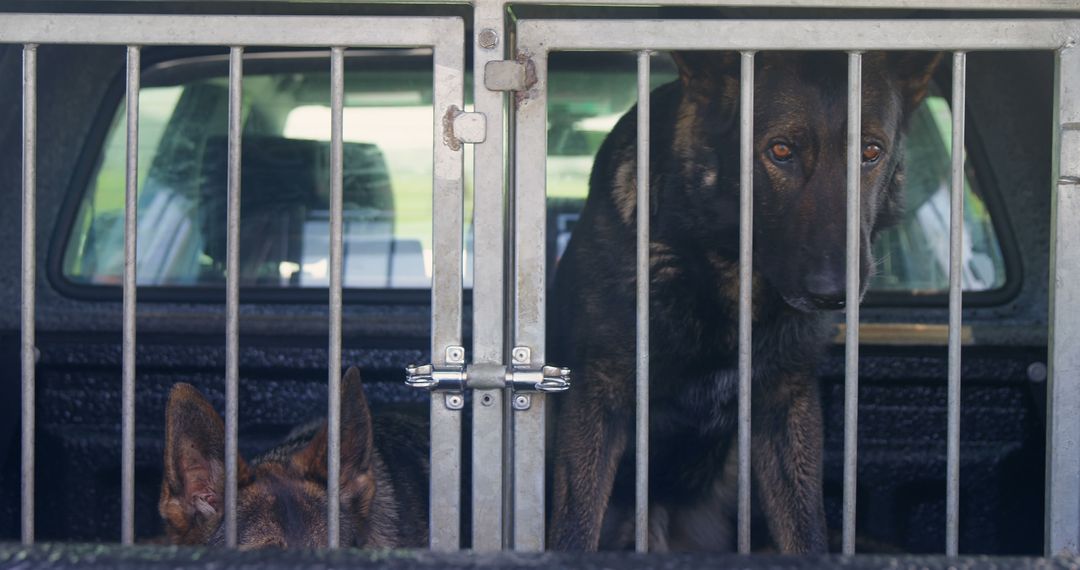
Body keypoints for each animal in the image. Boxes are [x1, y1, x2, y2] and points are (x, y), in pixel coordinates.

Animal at [548, 52, 937, 552]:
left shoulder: (786, 404)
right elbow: (574, 529)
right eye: (781, 151)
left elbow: (806, 534)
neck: (730, 268)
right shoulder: (598, 395)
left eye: (871, 152)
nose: (834, 293)